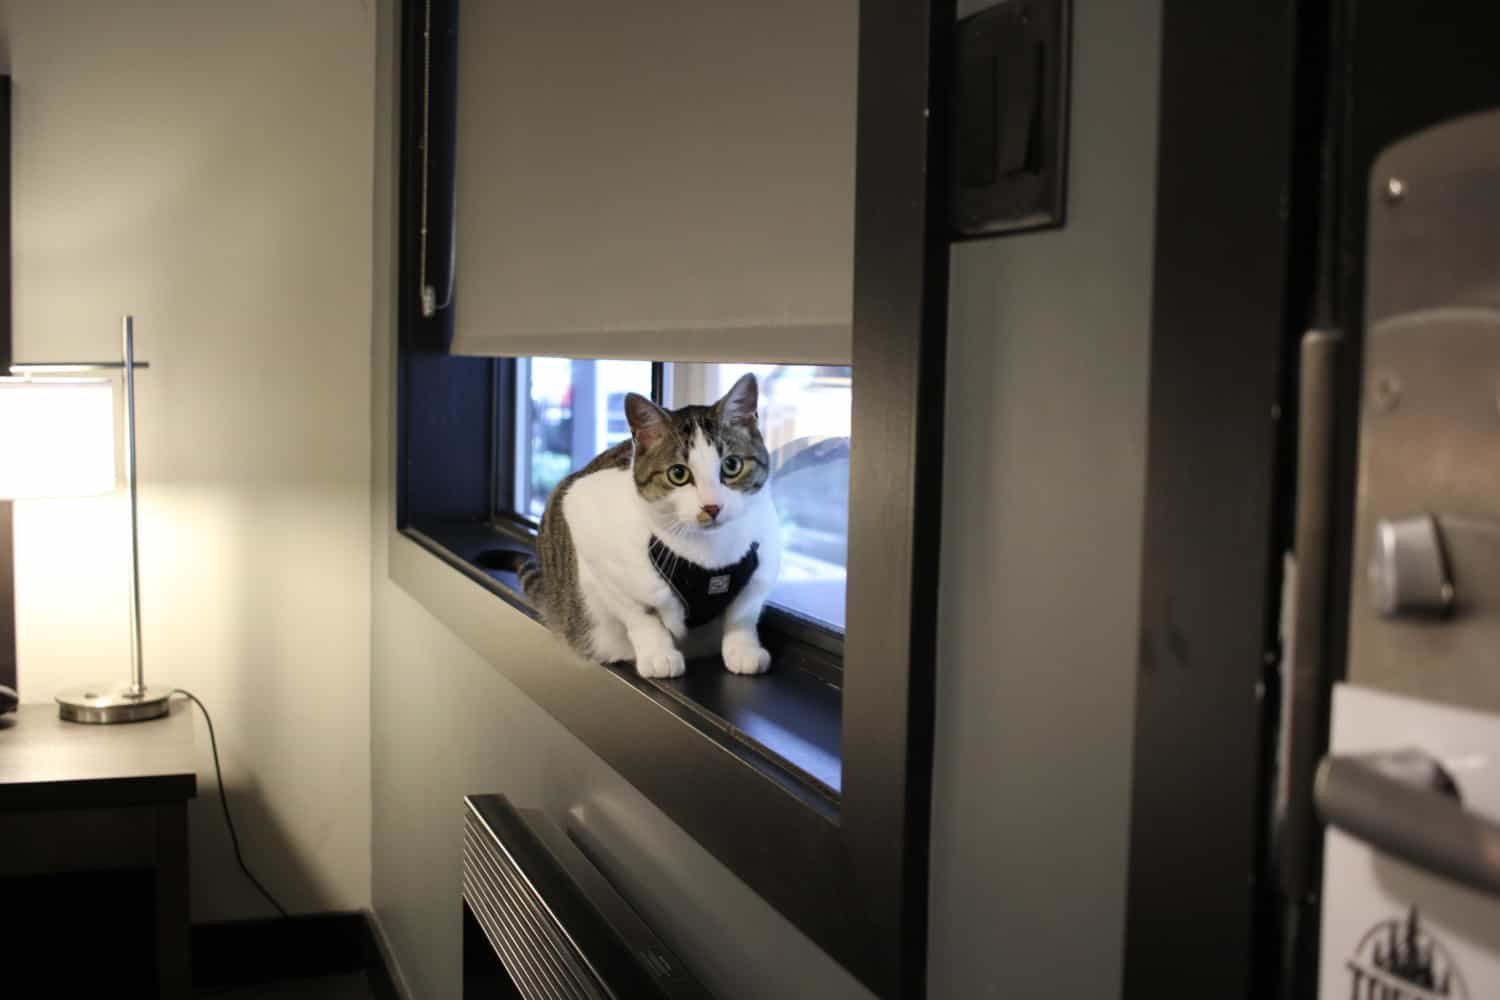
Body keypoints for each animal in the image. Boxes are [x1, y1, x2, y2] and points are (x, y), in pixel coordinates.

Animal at [522, 374, 786, 680]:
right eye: (678, 474)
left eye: (732, 465)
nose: (712, 507)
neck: (711, 555)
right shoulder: (579, 512)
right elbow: (640, 614)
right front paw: (659, 653)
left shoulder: (764, 557)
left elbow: (743, 613)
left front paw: (743, 649)